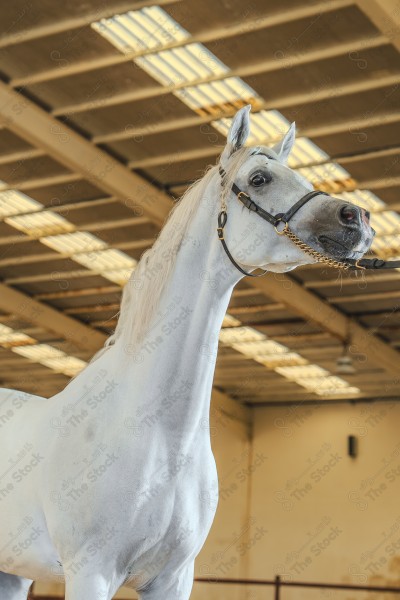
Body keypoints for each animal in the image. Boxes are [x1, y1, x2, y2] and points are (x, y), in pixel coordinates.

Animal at [0, 105, 374, 596]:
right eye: (259, 179)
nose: (357, 218)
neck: (158, 433)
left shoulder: (174, 577)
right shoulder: (90, 573)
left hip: (14, 571)